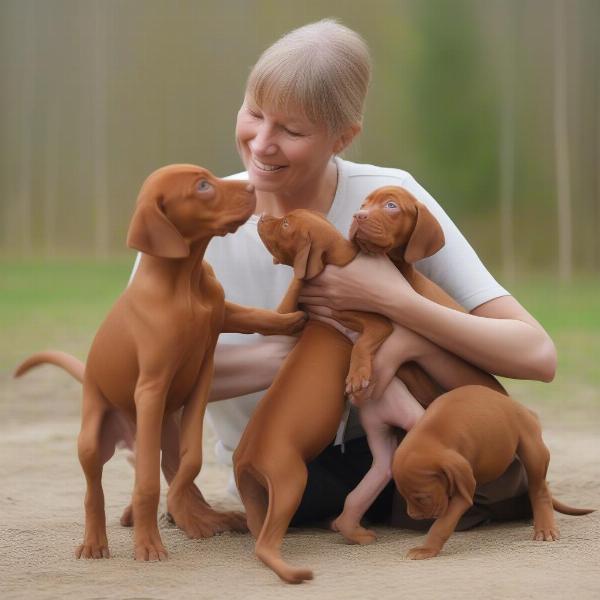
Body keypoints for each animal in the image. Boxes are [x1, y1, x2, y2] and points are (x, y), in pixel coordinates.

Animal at [14, 165, 304, 564]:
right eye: (203, 186)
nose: (251, 186)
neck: (185, 283)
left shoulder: (205, 365)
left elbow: (191, 460)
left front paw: (291, 321)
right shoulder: (151, 389)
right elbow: (148, 482)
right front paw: (149, 543)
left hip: (166, 427)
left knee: (167, 467)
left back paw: (203, 518)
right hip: (94, 437)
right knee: (94, 489)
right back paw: (95, 541)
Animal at [392, 384, 592, 556]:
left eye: (423, 498)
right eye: (403, 496)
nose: (413, 515)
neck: (433, 435)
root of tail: (520, 406)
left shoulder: (463, 491)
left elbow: (442, 525)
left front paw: (426, 549)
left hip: (533, 448)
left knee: (539, 489)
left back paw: (545, 527)